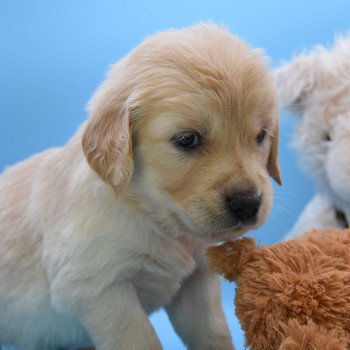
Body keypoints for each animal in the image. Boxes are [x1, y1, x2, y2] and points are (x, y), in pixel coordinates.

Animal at [0, 24, 280, 350]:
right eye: (188, 139)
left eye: (261, 135)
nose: (248, 203)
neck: (153, 215)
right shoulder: (98, 286)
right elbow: (141, 339)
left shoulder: (195, 283)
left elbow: (214, 333)